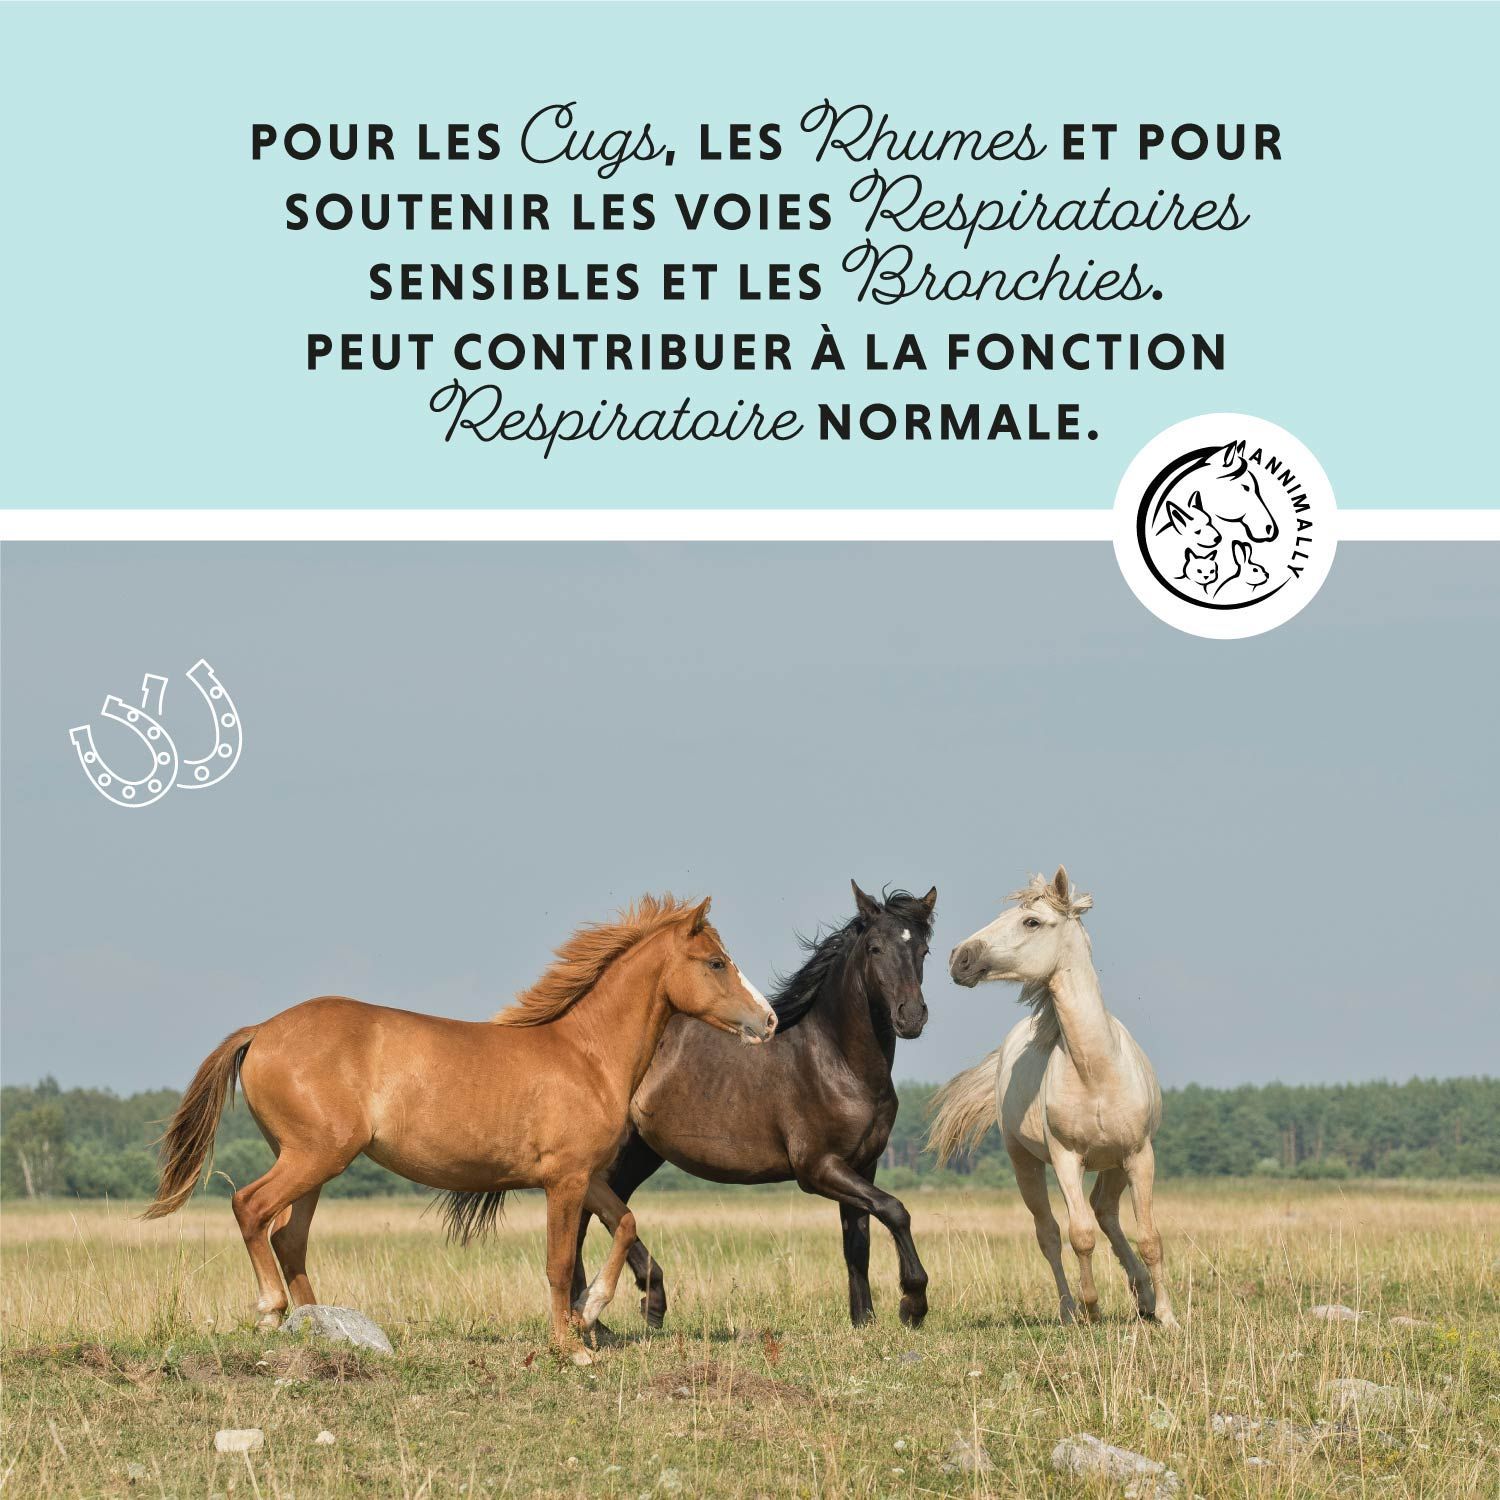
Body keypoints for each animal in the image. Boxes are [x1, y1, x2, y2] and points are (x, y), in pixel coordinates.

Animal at [145, 895, 776, 1359]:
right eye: (716, 962)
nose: (768, 1020)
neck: (586, 1055)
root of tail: (262, 1030)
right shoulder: (564, 1181)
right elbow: (558, 1262)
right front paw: (570, 1346)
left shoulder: (587, 1177)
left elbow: (624, 1224)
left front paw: (592, 1310)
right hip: (313, 1156)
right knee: (251, 1208)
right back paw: (272, 1313)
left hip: (314, 1164)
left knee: (288, 1236)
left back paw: (320, 1325)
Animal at [558, 882, 936, 1330]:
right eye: (876, 948)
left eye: (924, 950)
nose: (911, 1017)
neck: (837, 1061)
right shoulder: (818, 1168)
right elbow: (895, 1210)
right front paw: (912, 1302)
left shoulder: (863, 1165)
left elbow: (857, 1242)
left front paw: (864, 1320)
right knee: (587, 1216)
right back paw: (600, 1315)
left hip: (641, 1153)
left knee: (605, 1213)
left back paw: (633, 1307)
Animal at [929, 868, 1178, 1328]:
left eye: (1031, 921)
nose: (959, 958)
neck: (1096, 1070)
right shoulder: (1066, 1158)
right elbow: (1078, 1235)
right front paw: (1092, 1308)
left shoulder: (1139, 1155)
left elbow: (1150, 1237)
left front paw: (1168, 1317)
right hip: (1024, 1162)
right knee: (1050, 1232)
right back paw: (1069, 1310)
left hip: (1114, 1163)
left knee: (1106, 1212)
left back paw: (1144, 1297)